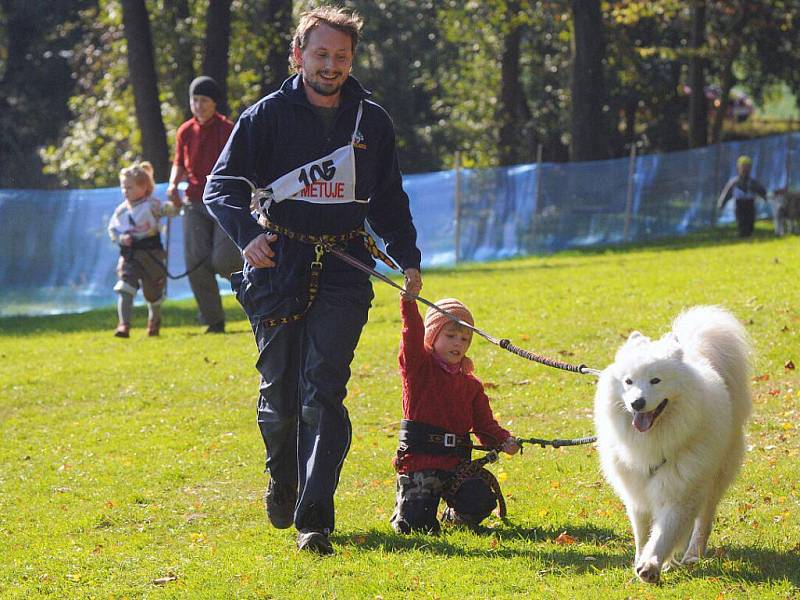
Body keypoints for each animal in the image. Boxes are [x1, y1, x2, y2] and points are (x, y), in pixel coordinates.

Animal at [592, 308, 752, 584]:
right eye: (629, 382)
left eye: (656, 380)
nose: (637, 403)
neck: (654, 440)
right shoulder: (636, 490)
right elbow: (643, 532)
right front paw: (641, 560)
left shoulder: (680, 489)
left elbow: (664, 532)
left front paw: (651, 565)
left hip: (712, 477)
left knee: (703, 521)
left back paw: (691, 555)